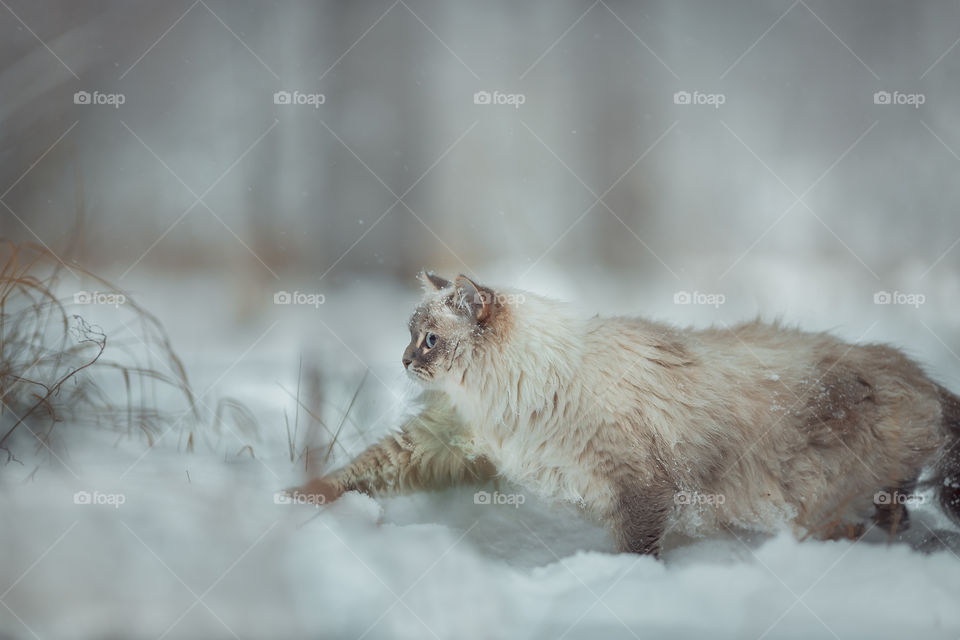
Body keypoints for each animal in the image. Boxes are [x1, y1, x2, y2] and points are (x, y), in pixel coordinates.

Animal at [290, 272, 960, 556]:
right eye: (412, 337)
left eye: (429, 340)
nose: (403, 360)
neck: (509, 397)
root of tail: (920, 377)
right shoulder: (448, 442)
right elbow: (357, 472)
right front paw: (296, 502)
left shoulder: (640, 488)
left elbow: (637, 552)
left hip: (827, 495)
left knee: (884, 519)